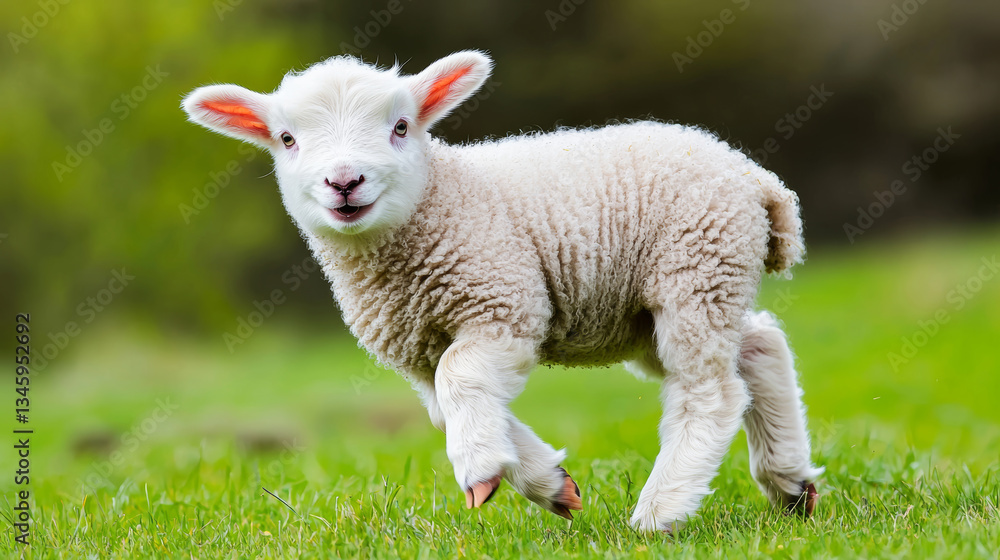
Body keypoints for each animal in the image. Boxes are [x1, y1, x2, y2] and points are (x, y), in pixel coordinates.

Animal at [182, 50, 823, 532]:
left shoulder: (503, 304)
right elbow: (449, 404)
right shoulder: (419, 349)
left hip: (694, 272)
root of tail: (756, 179)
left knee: (710, 392)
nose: (344, 182)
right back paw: (791, 483)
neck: (441, 199)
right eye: (287, 139)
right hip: (667, 301)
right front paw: (547, 483)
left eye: (400, 127)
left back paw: (661, 511)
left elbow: (462, 378)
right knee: (759, 346)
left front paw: (479, 467)